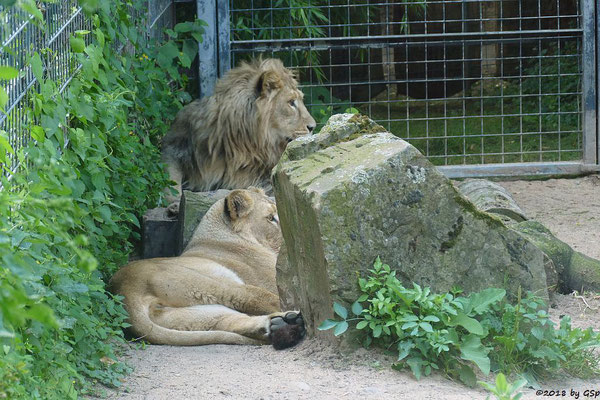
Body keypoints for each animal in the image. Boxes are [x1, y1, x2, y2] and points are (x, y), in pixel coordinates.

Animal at [109, 188, 304, 346]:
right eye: (271, 218)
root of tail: (125, 293)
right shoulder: (275, 279)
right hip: (210, 283)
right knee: (258, 299)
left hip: (193, 315)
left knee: (228, 321)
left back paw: (283, 324)